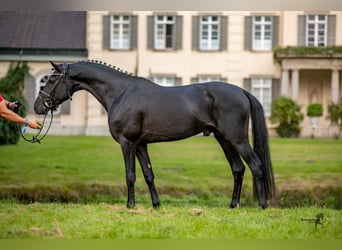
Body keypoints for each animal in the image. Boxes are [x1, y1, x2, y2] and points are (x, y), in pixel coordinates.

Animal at [34, 61, 276, 209]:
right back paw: (233, 205)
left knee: (256, 165)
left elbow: (130, 175)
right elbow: (149, 174)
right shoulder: (141, 145)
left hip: (237, 139)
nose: (38, 106)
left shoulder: (127, 143)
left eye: (52, 80)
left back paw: (262, 205)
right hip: (224, 139)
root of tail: (242, 91)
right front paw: (156, 204)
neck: (121, 93)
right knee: (238, 169)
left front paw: (130, 205)